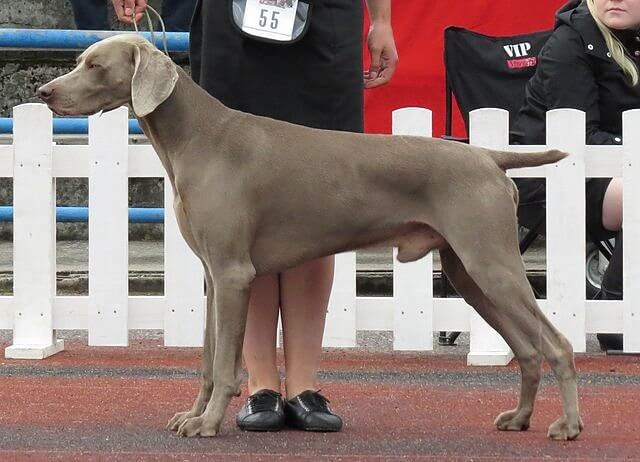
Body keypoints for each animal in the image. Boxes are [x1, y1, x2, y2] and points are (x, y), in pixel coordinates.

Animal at [37, 35, 584, 440]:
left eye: (94, 64)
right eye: (80, 62)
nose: (43, 92)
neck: (197, 136)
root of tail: (488, 156)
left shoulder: (234, 274)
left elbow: (225, 362)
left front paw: (208, 423)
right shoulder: (214, 276)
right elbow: (208, 361)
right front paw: (192, 415)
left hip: (492, 264)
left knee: (557, 344)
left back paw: (569, 425)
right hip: (468, 274)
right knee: (529, 349)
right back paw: (520, 418)